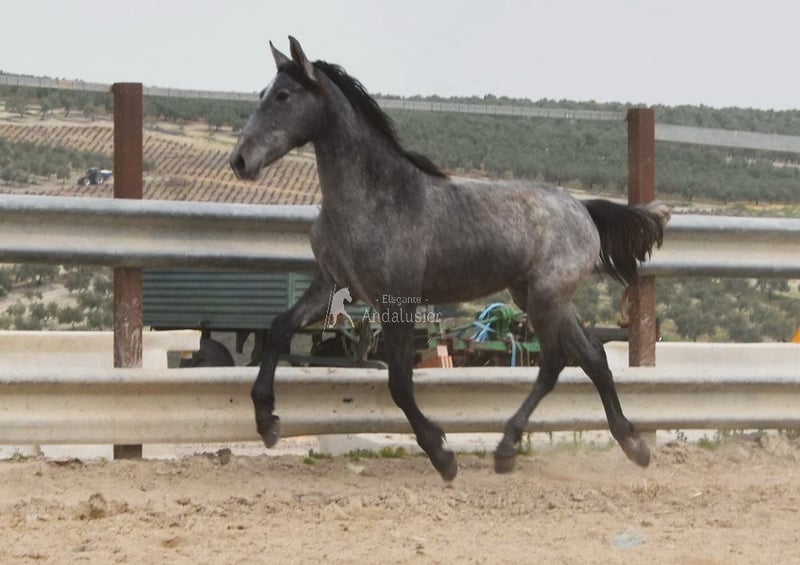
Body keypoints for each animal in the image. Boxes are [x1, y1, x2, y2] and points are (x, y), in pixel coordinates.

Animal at [230, 36, 670, 481]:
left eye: (284, 96)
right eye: (263, 93)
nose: (240, 161)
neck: (372, 200)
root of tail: (582, 209)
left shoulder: (398, 302)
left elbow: (399, 382)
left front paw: (442, 454)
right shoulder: (332, 284)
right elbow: (279, 328)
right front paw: (267, 422)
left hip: (547, 297)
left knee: (555, 362)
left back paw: (508, 448)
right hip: (535, 296)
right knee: (592, 357)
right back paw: (632, 445)